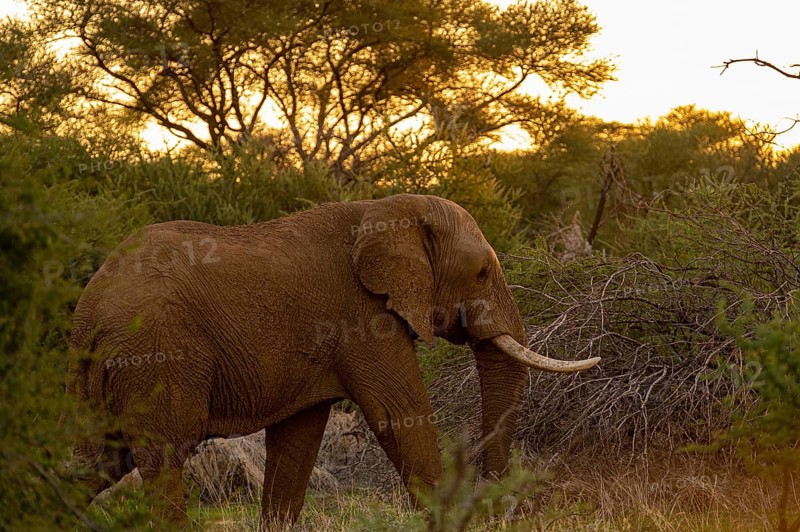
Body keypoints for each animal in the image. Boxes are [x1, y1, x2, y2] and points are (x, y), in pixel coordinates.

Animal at [65, 193, 599, 528]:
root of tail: (91, 310)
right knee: (163, 461)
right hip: (157, 357)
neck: (389, 209)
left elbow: (297, 442)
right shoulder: (362, 317)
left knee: (95, 462)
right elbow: (399, 416)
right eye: (483, 272)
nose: (496, 511)